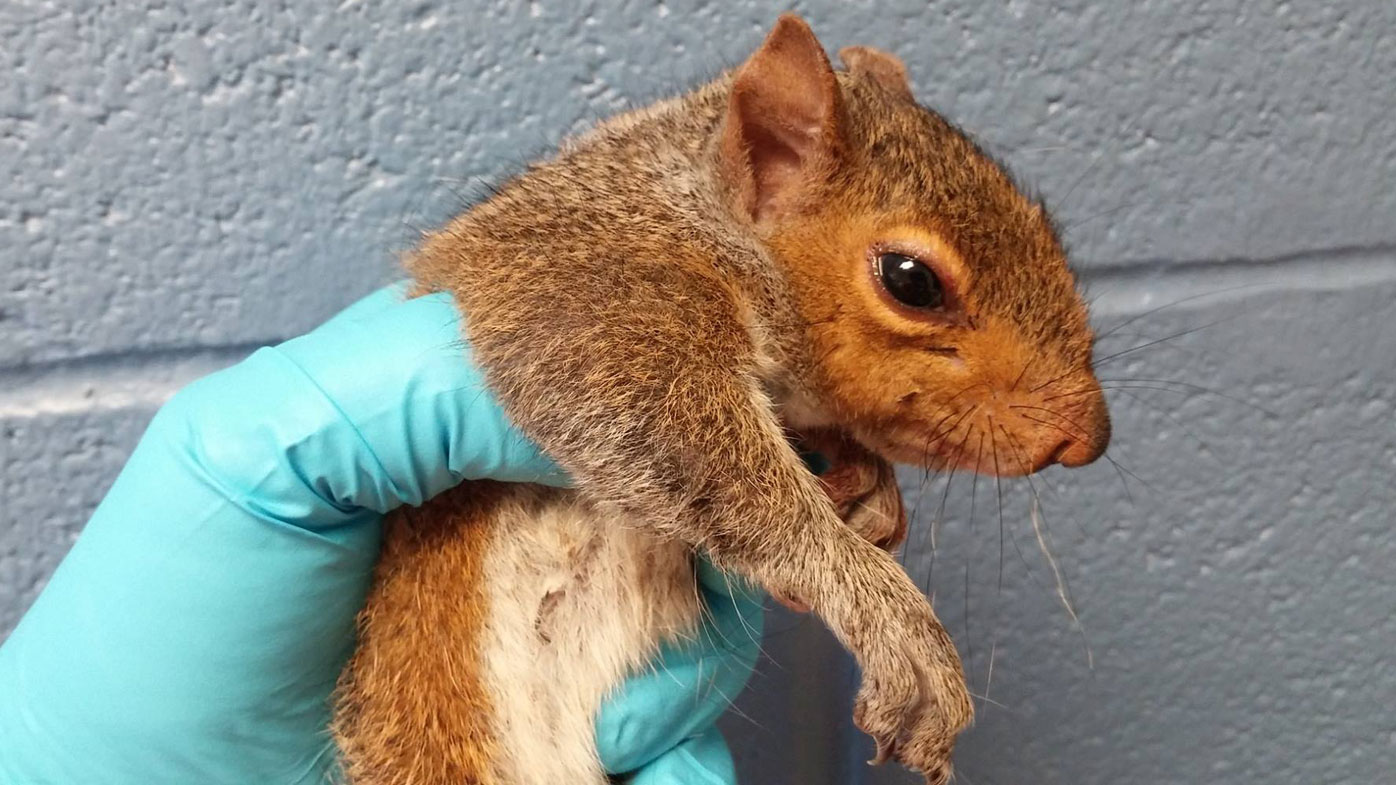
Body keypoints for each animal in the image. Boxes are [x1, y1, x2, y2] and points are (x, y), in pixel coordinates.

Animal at [332, 14, 1109, 785]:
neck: (703, 214)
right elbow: (693, 451)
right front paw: (881, 608)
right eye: (911, 280)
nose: (1087, 438)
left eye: (1044, 224)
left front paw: (871, 487)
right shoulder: (588, 293)